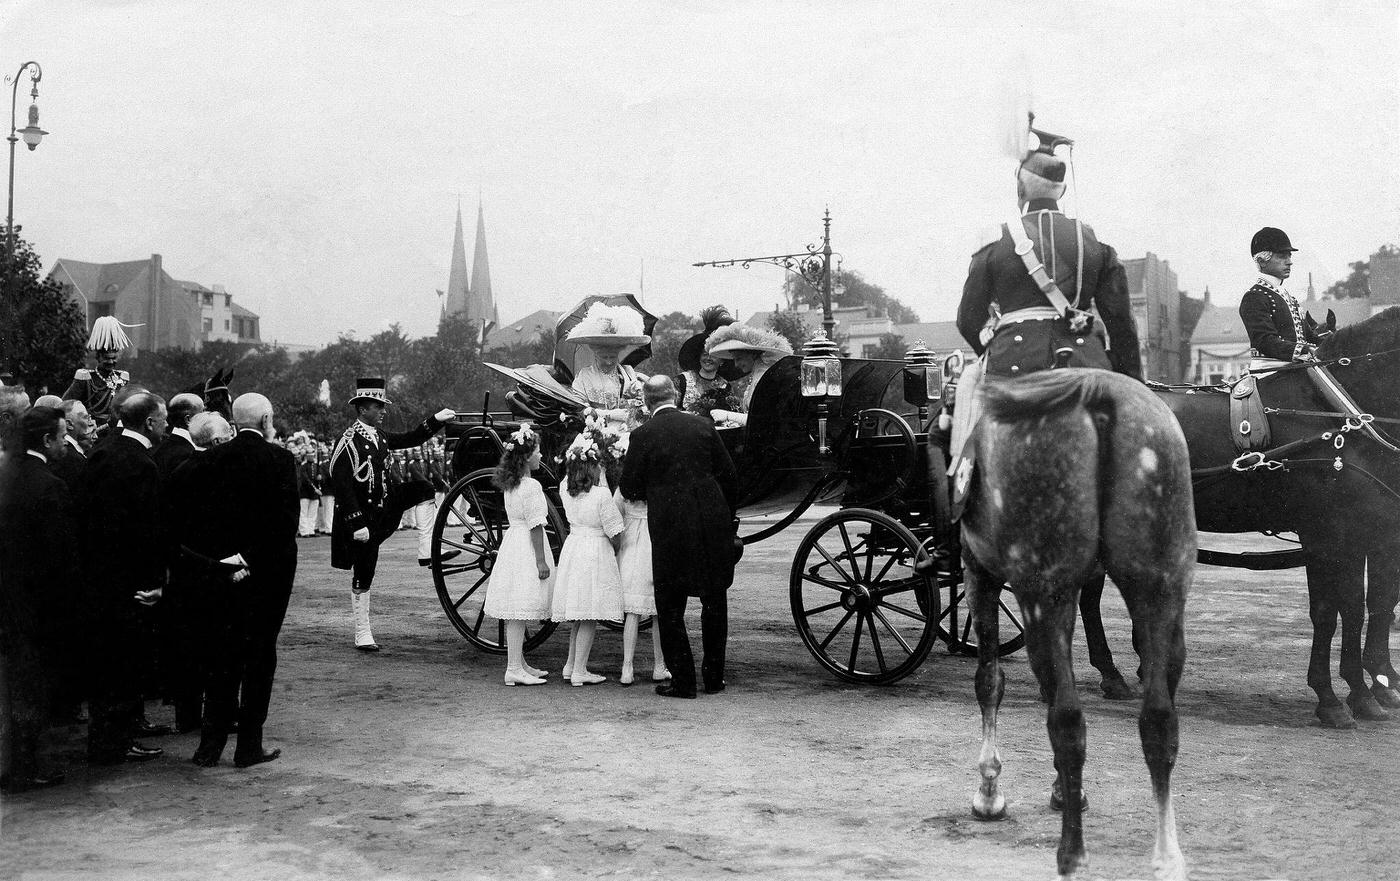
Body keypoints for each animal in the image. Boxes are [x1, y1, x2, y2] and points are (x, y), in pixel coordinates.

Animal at [963, 369, 1192, 879]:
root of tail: (1098, 391)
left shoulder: (981, 574)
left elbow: (990, 680)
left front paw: (989, 790)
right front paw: (1064, 790)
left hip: (1040, 594)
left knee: (1066, 720)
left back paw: (1071, 853)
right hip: (1161, 590)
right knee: (1159, 719)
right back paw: (1166, 855)